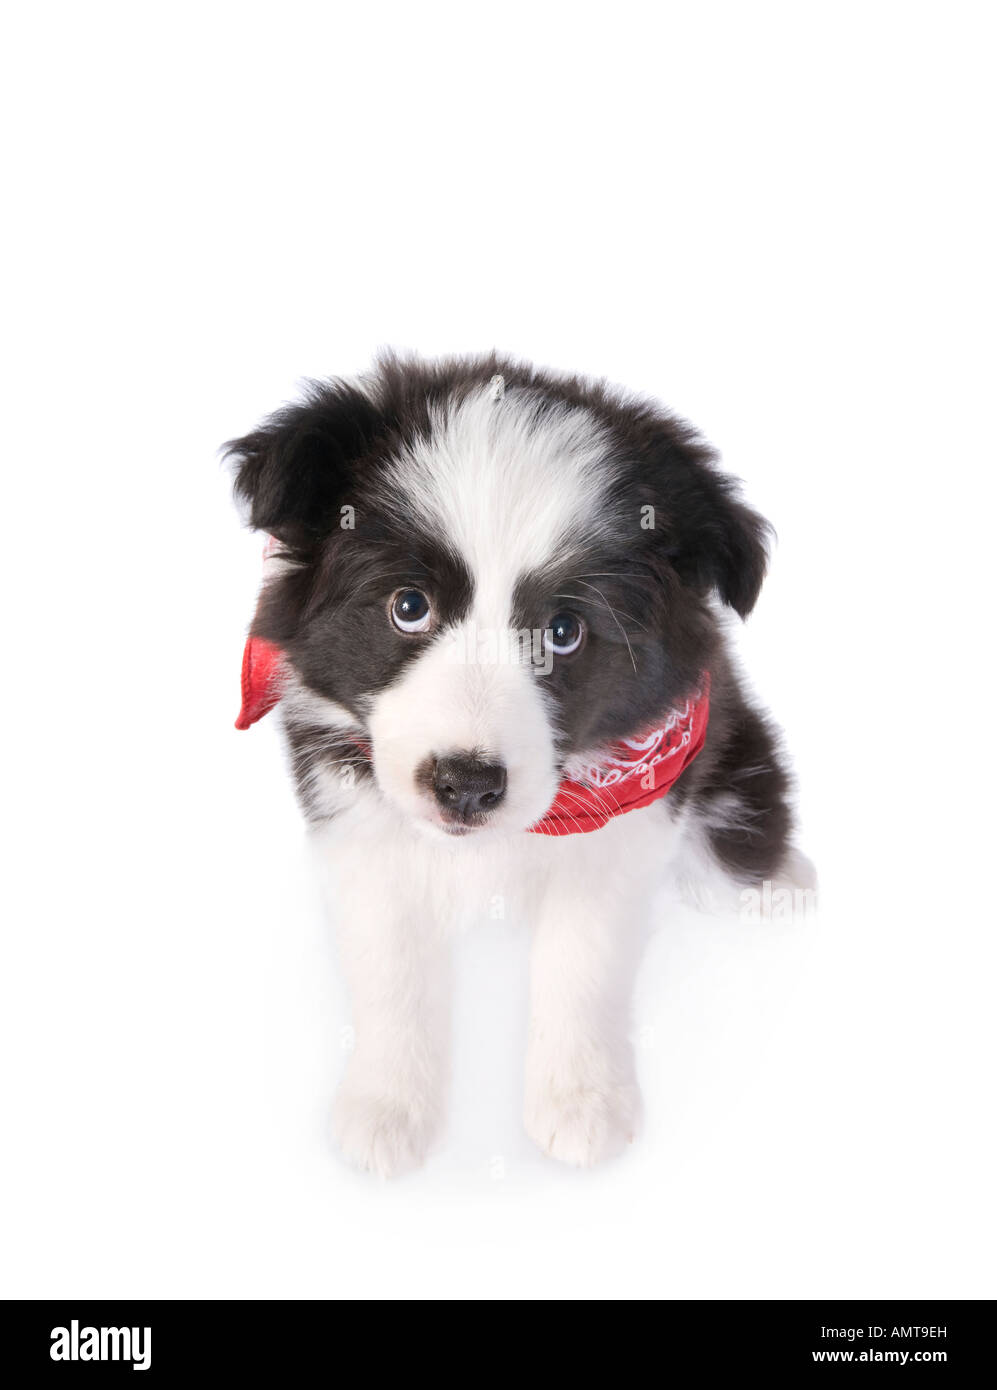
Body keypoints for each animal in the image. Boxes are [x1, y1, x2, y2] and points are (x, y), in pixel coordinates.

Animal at [229, 350, 812, 1173]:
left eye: (564, 631)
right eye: (408, 606)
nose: (466, 787)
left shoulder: (624, 834)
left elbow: (584, 961)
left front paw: (582, 1100)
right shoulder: (355, 813)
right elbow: (389, 962)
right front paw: (386, 1107)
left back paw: (775, 879)